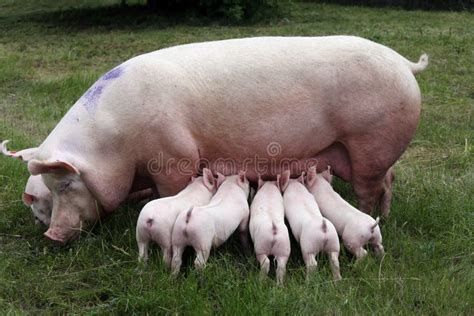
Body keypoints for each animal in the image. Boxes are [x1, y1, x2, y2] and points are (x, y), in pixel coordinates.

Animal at [7, 35, 428, 242]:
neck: (114, 143)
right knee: (388, 181)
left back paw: (372, 215)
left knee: (371, 188)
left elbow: (171, 191)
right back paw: (386, 216)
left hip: (370, 142)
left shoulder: (173, 155)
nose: (51, 236)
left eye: (66, 184)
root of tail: (404, 62)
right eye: (50, 189)